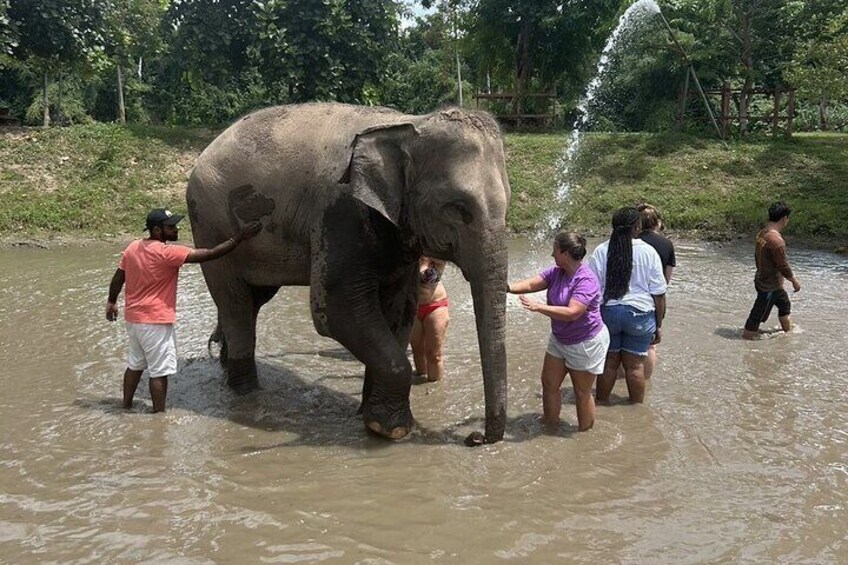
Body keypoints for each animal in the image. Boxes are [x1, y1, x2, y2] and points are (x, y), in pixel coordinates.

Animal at [186, 103, 510, 442]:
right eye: (460, 208)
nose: (475, 438)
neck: (409, 124)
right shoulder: (338, 211)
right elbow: (336, 311)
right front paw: (391, 430)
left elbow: (401, 309)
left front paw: (370, 417)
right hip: (210, 226)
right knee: (235, 303)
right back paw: (246, 394)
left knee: (252, 301)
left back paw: (226, 366)